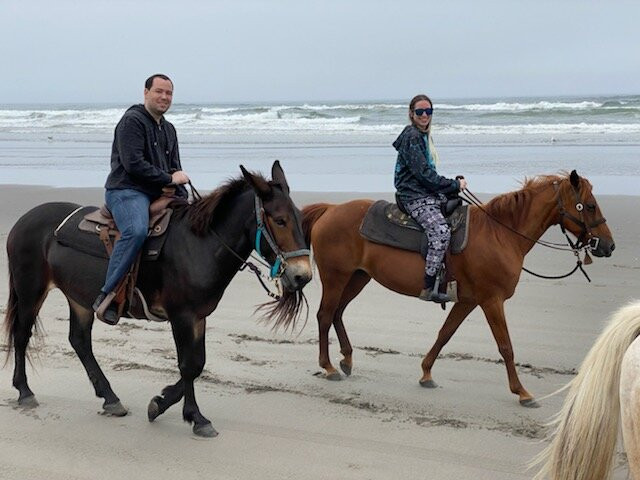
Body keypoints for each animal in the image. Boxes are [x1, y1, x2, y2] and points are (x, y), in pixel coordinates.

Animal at [3, 161, 312, 437]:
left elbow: (198, 363)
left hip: (78, 298)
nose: (302, 276)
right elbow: (189, 365)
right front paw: (196, 417)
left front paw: (160, 404)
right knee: (22, 334)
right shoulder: (181, 316)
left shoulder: (198, 316)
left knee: (79, 341)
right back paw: (25, 391)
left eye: (299, 218)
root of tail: (24, 220)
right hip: (30, 290)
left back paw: (110, 398)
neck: (200, 244)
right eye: (280, 220)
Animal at [298, 170, 614, 406]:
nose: (609, 245)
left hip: (357, 278)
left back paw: (347, 359)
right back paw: (328, 366)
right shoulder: (491, 300)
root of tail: (330, 210)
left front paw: (426, 373)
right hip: (336, 277)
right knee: (325, 315)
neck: (500, 234)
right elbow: (506, 346)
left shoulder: (468, 301)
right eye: (589, 205)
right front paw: (522, 392)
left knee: (337, 313)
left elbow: (445, 334)